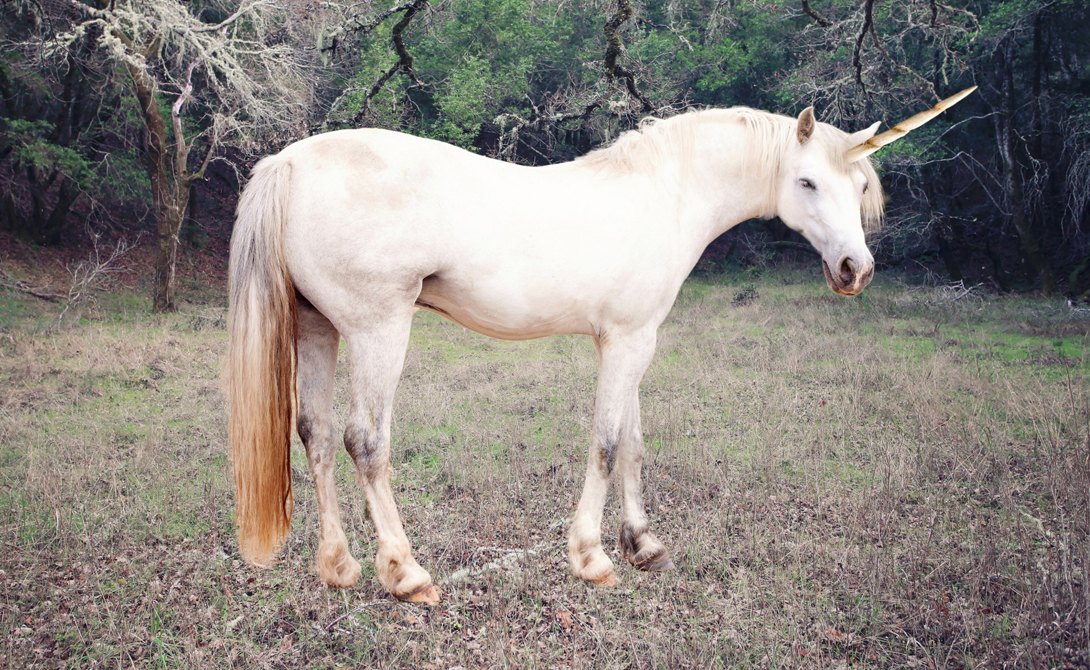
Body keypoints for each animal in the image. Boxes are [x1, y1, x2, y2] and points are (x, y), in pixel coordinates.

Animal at [225, 87, 976, 601]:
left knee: (317, 435)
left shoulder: (632, 341)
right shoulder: (625, 342)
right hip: (379, 331)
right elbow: (608, 443)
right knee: (365, 442)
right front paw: (591, 557)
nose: (855, 270)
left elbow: (634, 442)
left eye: (858, 185)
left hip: (318, 329)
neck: (663, 195)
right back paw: (406, 573)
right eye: (808, 181)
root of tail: (290, 161)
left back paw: (339, 566)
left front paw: (644, 544)